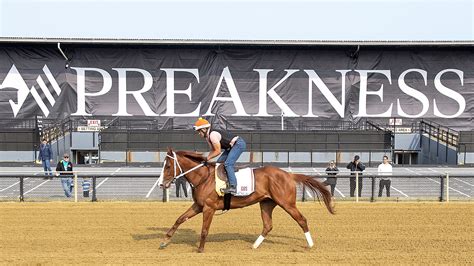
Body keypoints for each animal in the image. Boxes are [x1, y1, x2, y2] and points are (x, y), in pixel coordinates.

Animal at [158, 149, 334, 252]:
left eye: (168, 166)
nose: (161, 184)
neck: (203, 177)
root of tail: (289, 175)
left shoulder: (209, 207)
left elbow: (204, 230)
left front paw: (200, 249)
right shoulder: (199, 205)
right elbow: (179, 219)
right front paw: (165, 241)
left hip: (287, 203)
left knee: (301, 219)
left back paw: (310, 245)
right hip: (266, 203)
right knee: (268, 225)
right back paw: (254, 245)